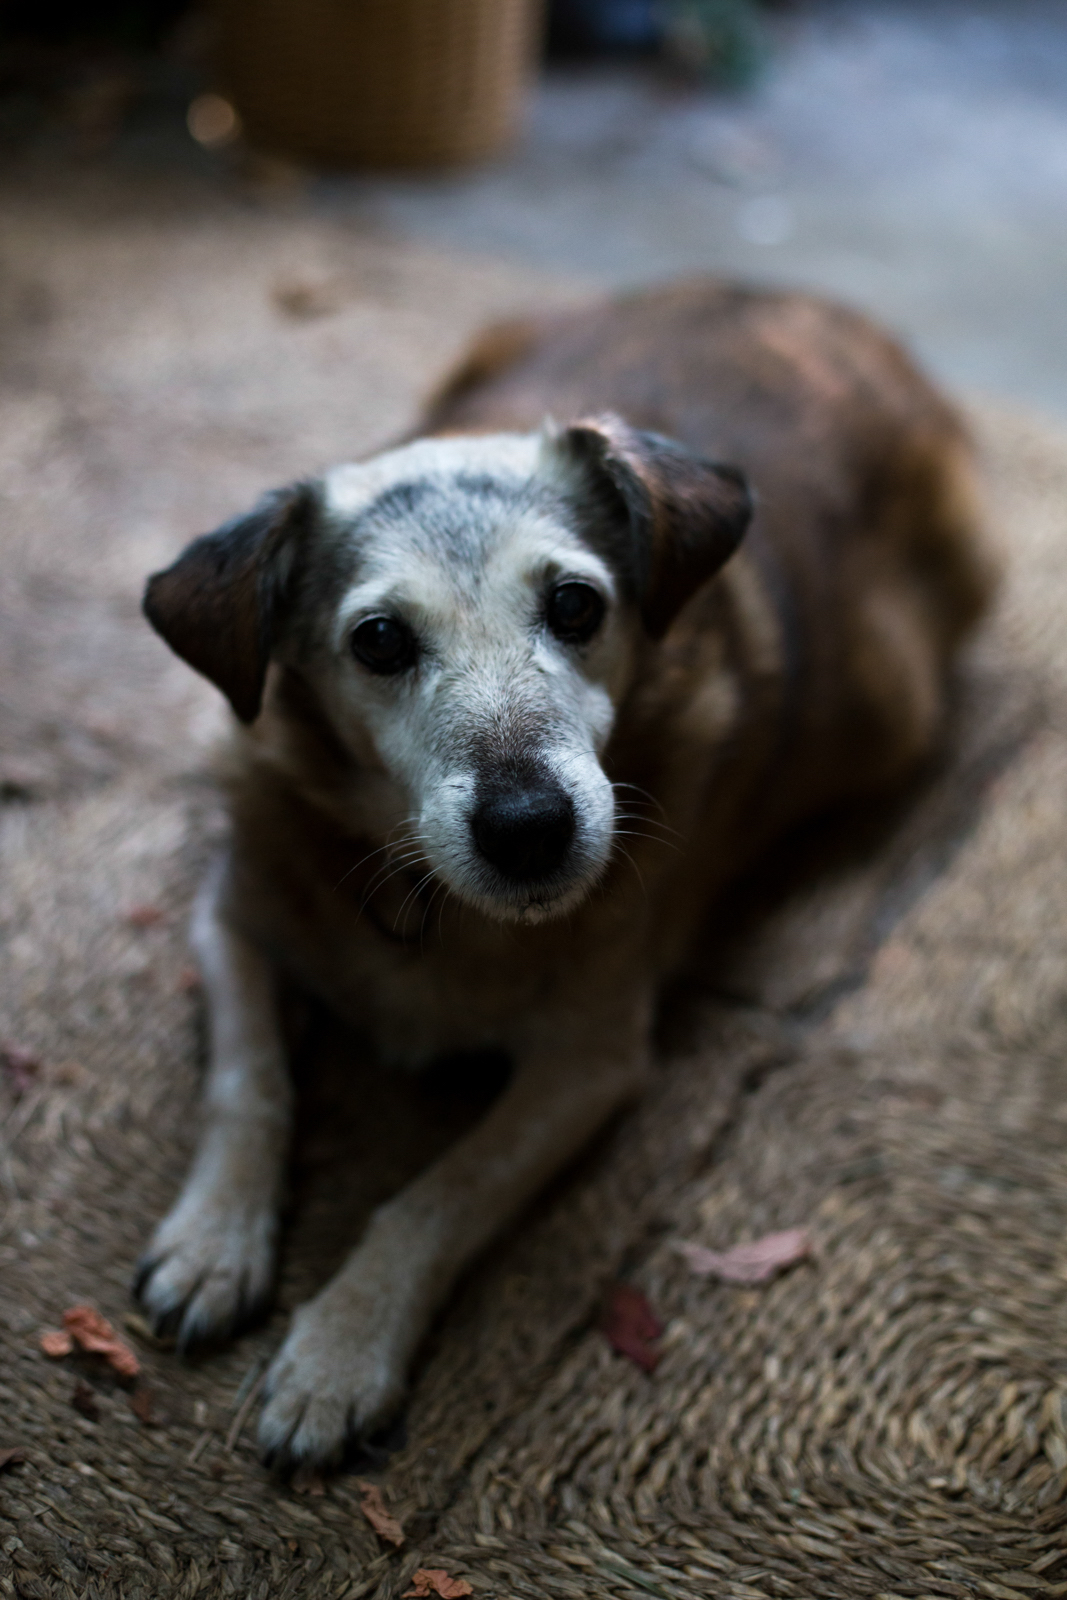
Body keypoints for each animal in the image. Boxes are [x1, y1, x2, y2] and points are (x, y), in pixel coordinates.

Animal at [133, 281, 991, 1465]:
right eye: (380, 640)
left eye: (577, 606)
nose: (530, 829)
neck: (434, 906)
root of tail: (801, 301)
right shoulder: (232, 916)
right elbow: (246, 1083)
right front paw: (215, 1242)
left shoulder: (587, 1061)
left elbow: (440, 1190)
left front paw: (342, 1347)